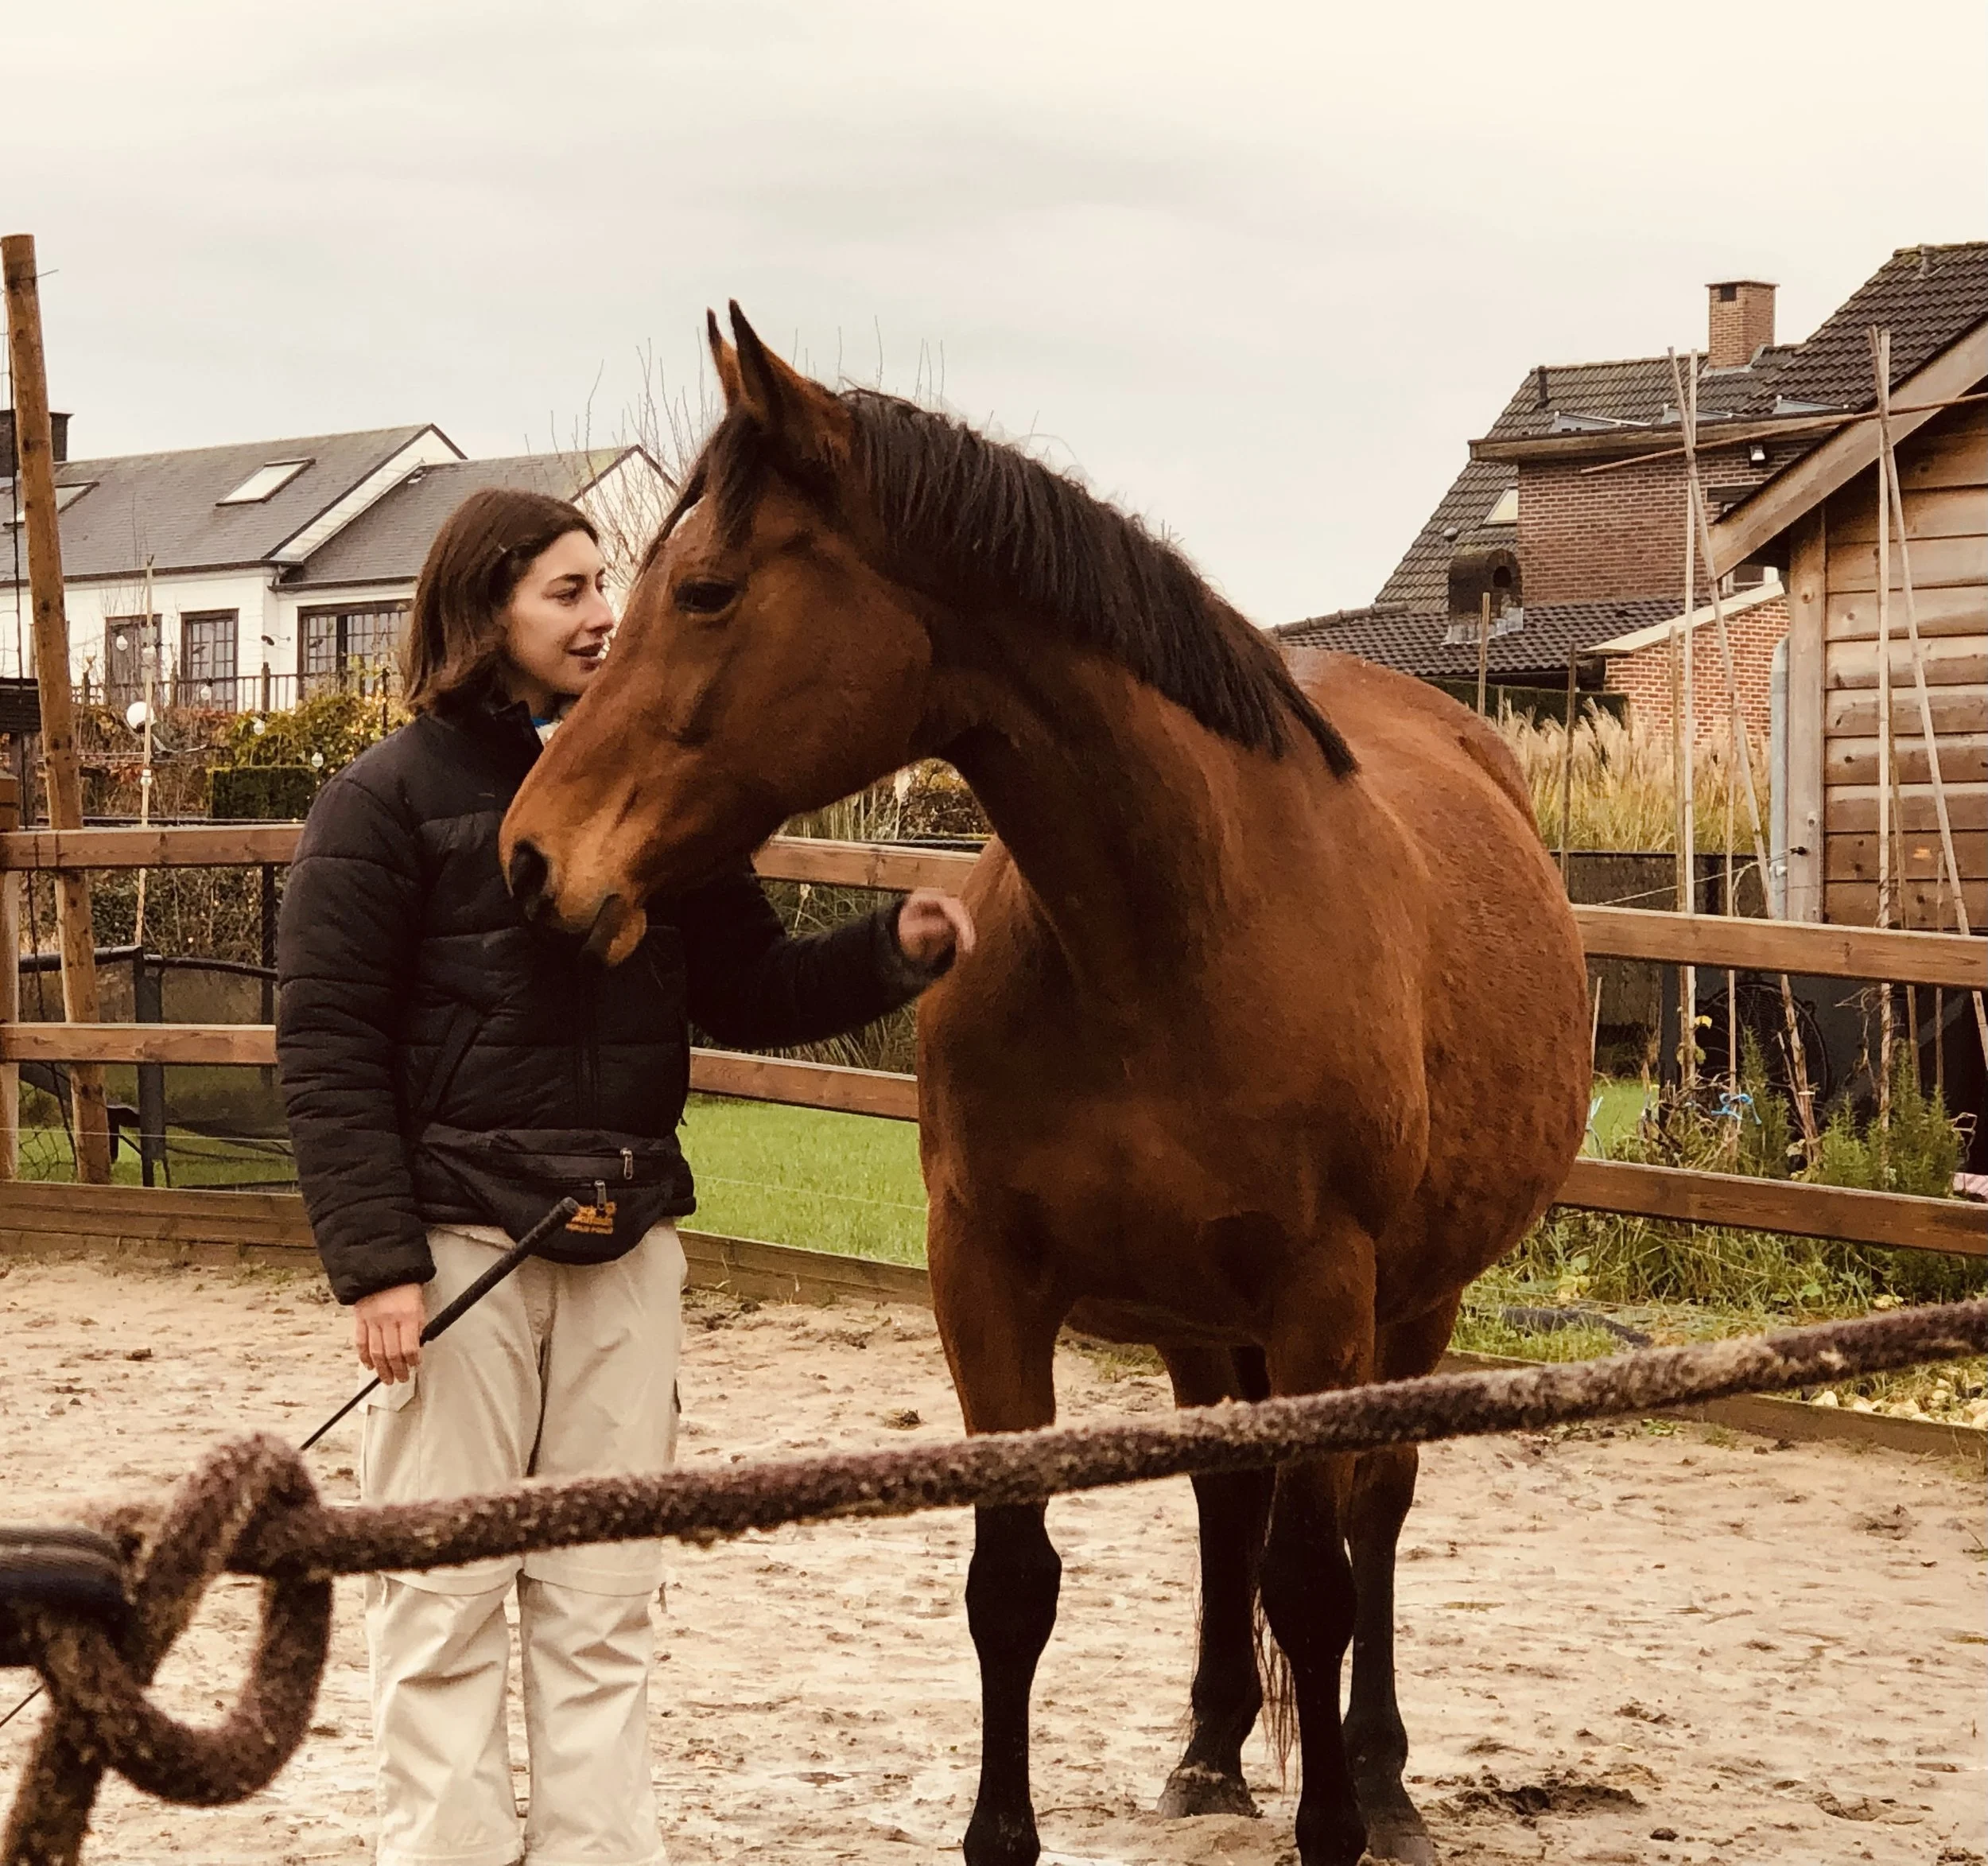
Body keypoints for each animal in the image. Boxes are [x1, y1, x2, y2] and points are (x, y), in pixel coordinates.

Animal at [501, 304, 1591, 1866]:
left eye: (704, 590)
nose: (534, 858)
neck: (1169, 931)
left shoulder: (1325, 1296)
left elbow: (1315, 1583)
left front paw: (1334, 1814)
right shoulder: (988, 1279)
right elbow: (1014, 1577)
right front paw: (1005, 1830)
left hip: (1410, 1303)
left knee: (1373, 1515)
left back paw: (1383, 1780)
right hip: (1207, 1325)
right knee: (1223, 1500)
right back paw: (1210, 1750)